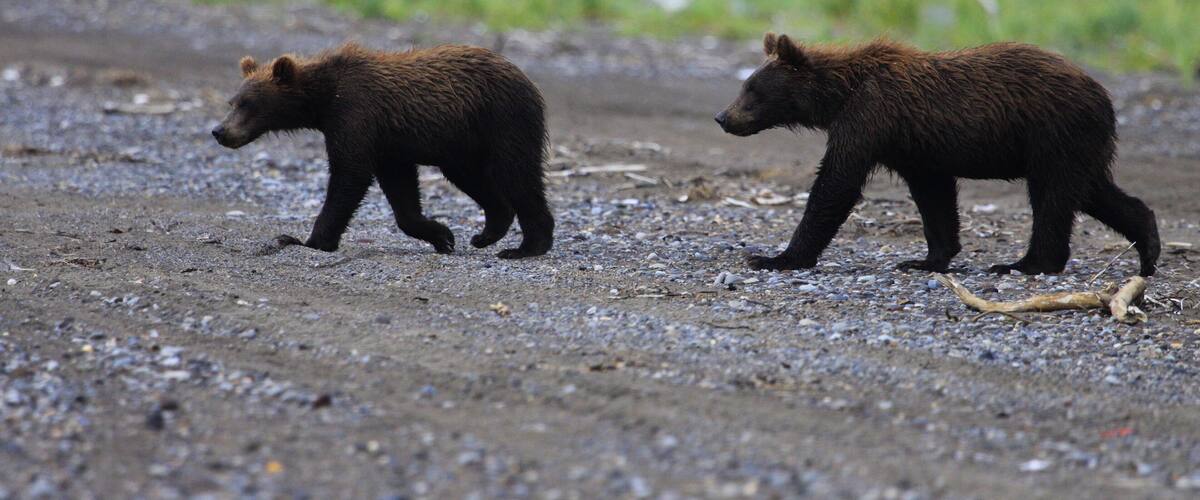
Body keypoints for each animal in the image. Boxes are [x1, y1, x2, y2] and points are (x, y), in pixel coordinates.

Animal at [212, 42, 554, 259]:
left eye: (249, 103)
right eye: (233, 101)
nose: (219, 131)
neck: (324, 101)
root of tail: (526, 77)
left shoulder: (355, 116)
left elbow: (349, 175)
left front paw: (308, 240)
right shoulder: (389, 145)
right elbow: (401, 193)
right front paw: (441, 234)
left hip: (503, 119)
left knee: (517, 173)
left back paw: (526, 247)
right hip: (463, 144)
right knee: (475, 179)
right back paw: (486, 234)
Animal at [716, 33, 1160, 277]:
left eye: (752, 89)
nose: (723, 116)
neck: (840, 94)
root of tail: (1104, 96)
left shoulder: (871, 118)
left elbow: (836, 183)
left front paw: (775, 257)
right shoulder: (913, 147)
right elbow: (935, 198)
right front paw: (928, 259)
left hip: (1053, 133)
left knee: (1053, 198)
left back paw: (1025, 263)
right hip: (1075, 144)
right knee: (1092, 191)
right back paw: (1148, 249)